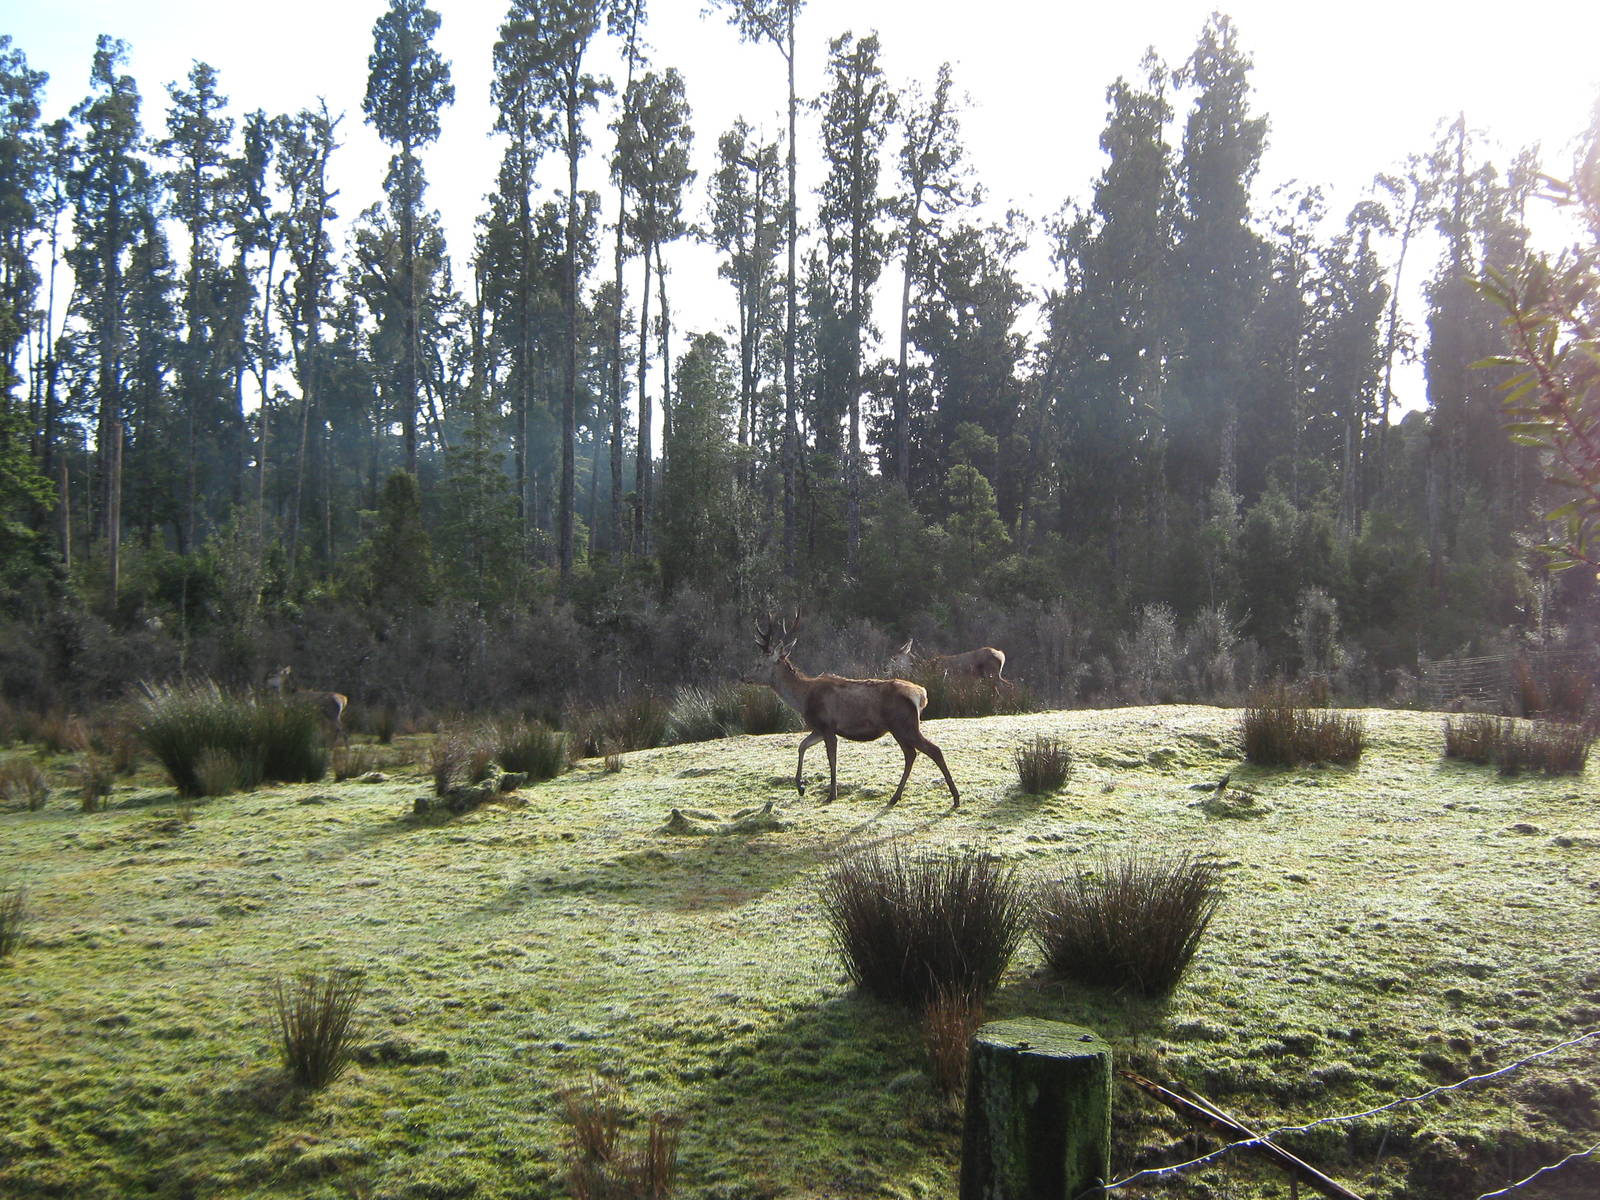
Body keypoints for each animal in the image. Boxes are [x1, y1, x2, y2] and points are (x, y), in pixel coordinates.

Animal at [754, 615, 960, 809]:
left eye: (759, 664)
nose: (746, 677)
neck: (803, 699)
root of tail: (921, 694)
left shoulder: (827, 725)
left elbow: (831, 758)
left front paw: (831, 794)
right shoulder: (818, 729)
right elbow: (802, 746)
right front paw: (800, 786)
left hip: (904, 725)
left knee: (932, 750)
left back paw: (955, 797)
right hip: (899, 728)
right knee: (911, 754)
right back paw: (896, 797)